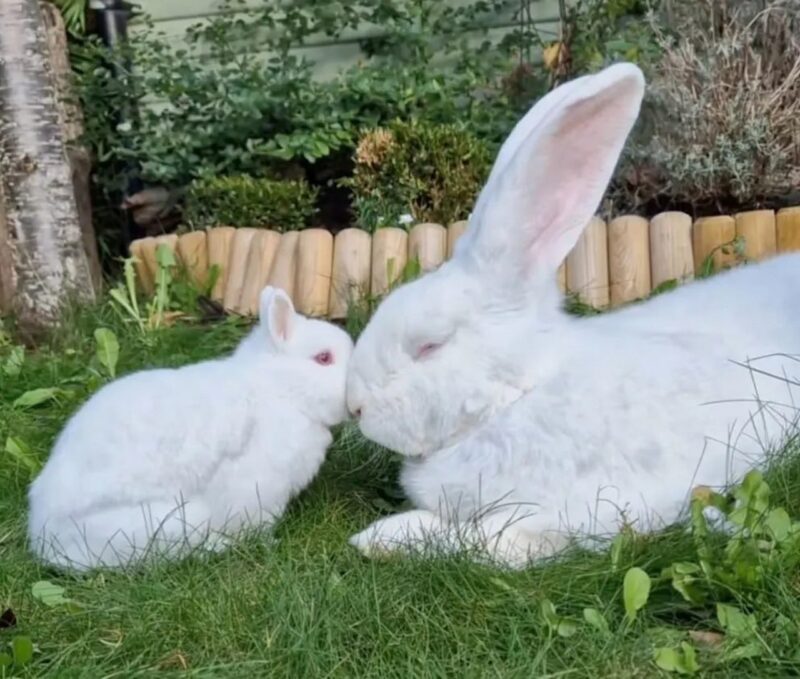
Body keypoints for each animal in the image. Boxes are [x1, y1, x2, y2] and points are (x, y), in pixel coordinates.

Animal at [345, 62, 800, 569]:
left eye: (430, 346)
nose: (355, 406)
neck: (520, 396)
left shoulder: (580, 511)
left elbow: (488, 542)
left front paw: (380, 538)